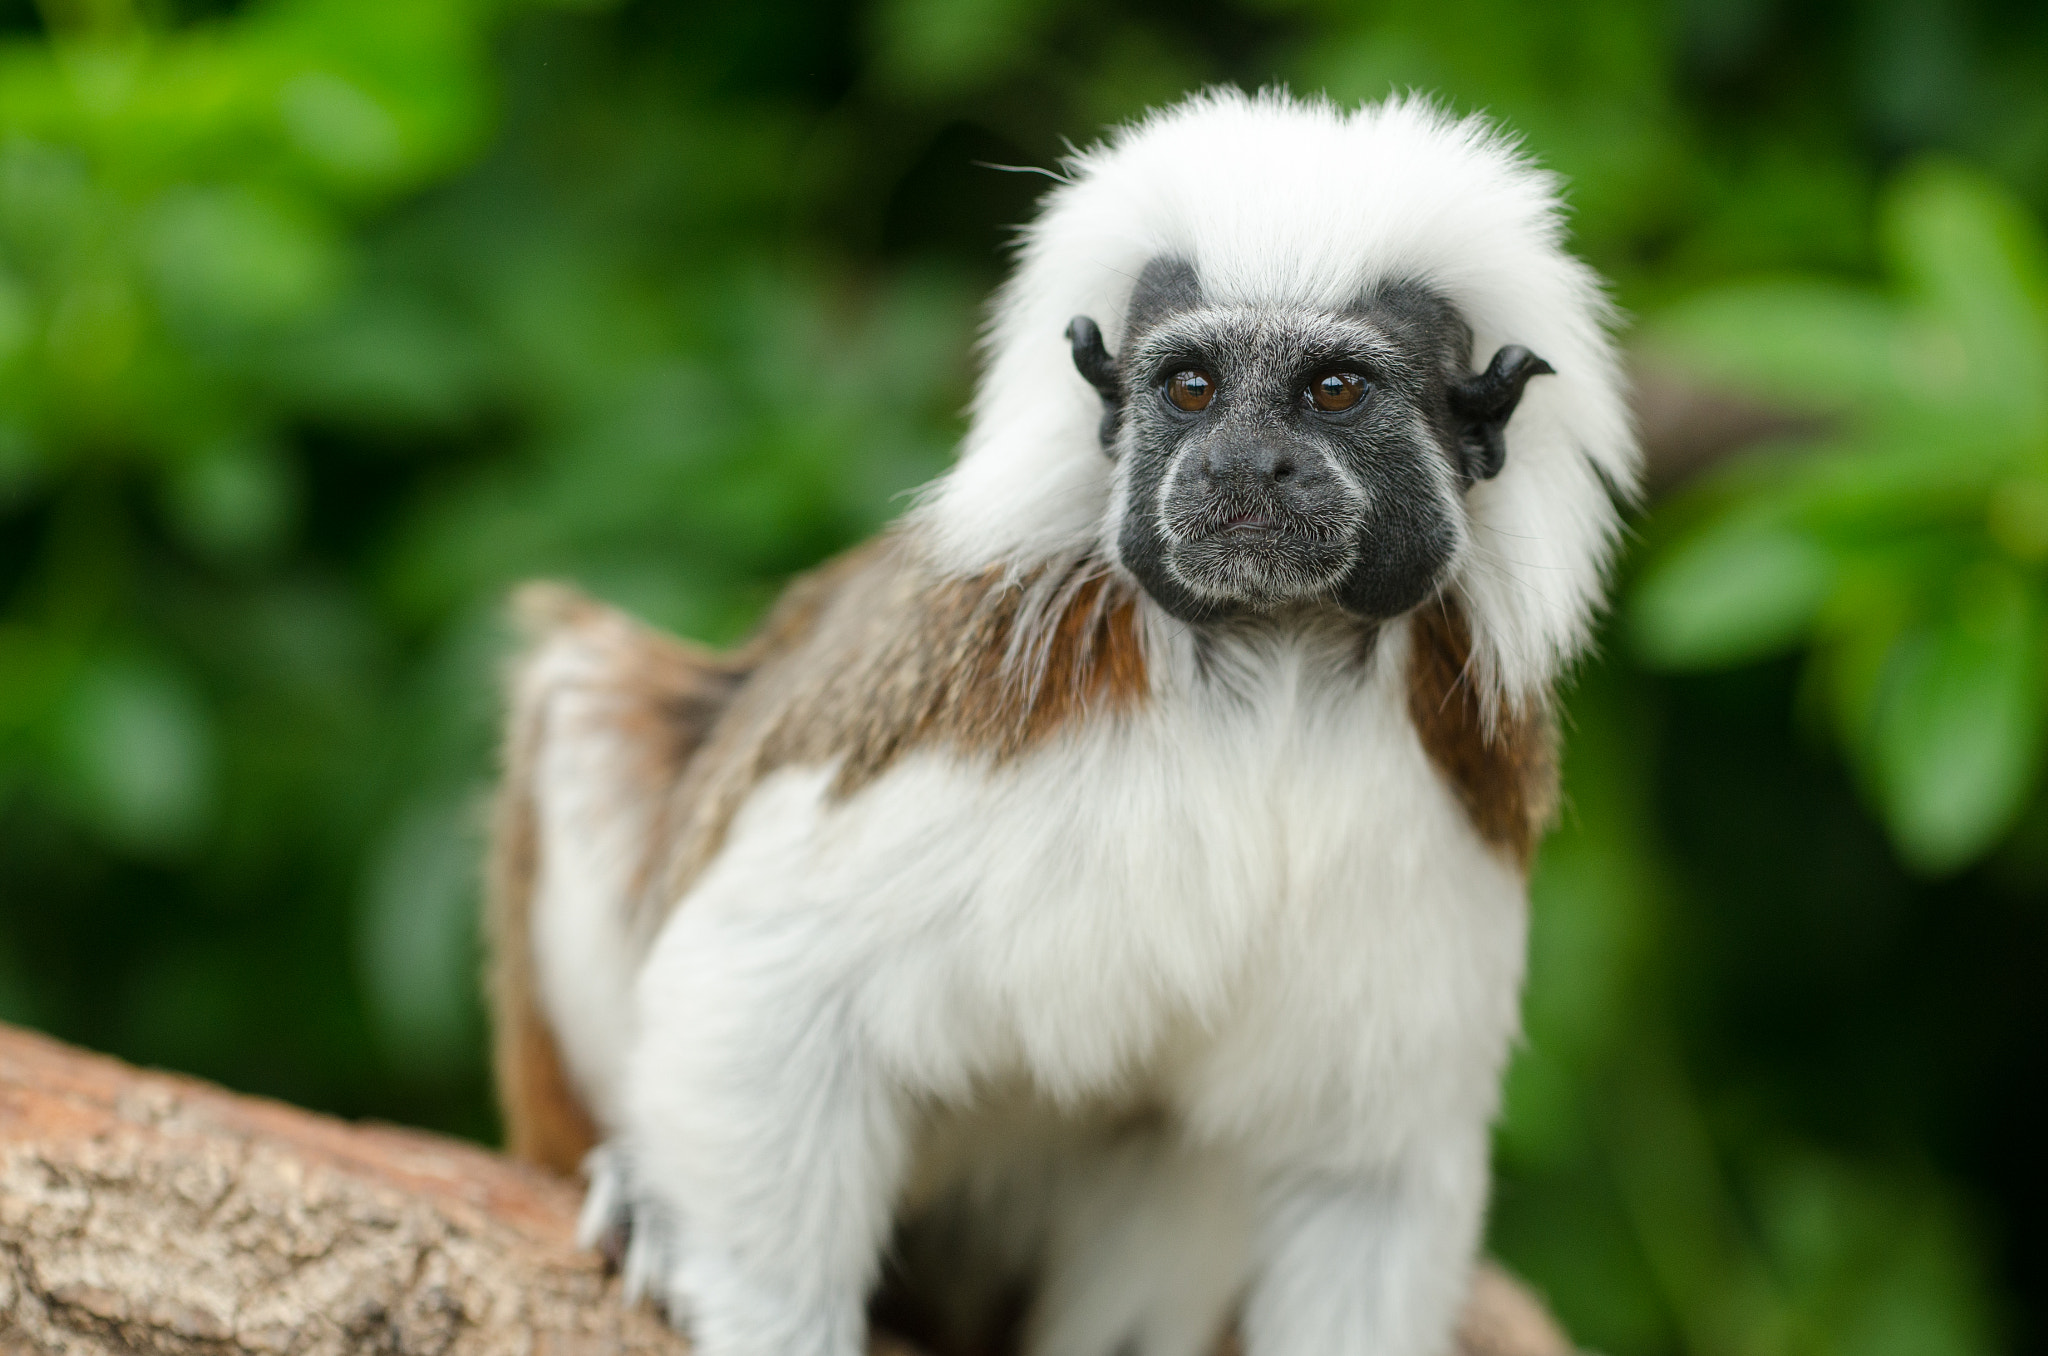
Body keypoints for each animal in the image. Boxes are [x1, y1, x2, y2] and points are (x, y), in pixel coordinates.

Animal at [487, 89, 1636, 1356]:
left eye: (1334, 390)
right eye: (1189, 389)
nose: (1245, 465)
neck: (1269, 667)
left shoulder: (1449, 816)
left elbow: (1365, 1166)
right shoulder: (976, 720)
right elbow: (769, 969)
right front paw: (763, 1313)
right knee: (587, 697)